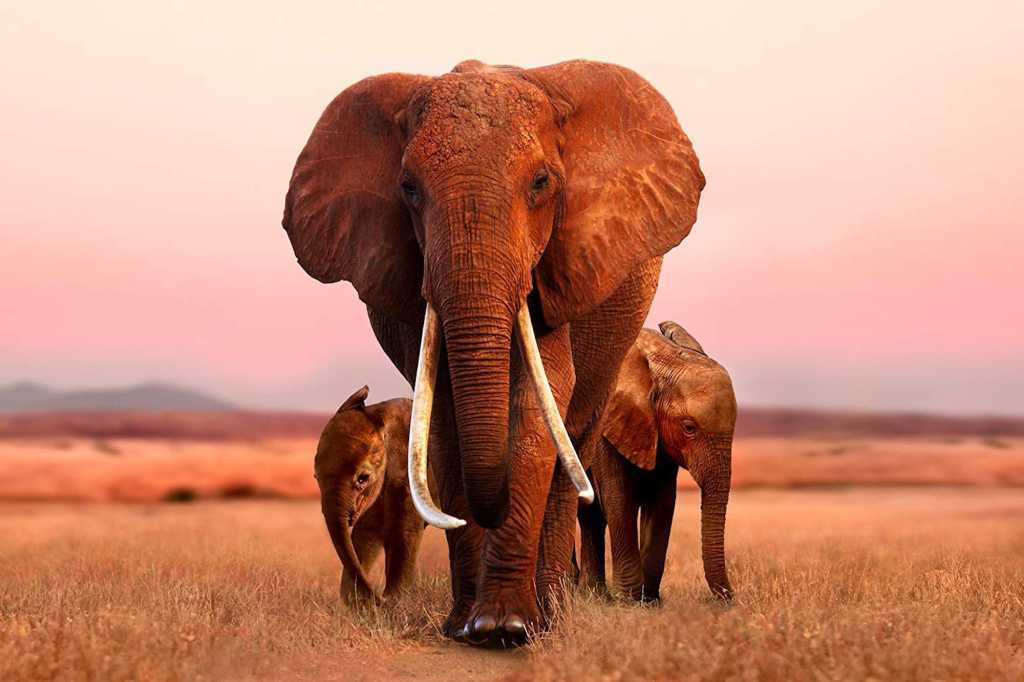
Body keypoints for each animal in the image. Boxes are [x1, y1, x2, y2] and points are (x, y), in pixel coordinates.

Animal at [314, 386, 424, 604]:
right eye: (316, 477)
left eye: (363, 478)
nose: (379, 596)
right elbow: (365, 534)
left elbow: (405, 534)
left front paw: (396, 600)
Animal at [577, 321, 735, 603]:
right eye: (689, 428)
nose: (731, 598)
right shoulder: (606, 425)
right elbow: (619, 498)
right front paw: (628, 601)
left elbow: (662, 502)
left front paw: (649, 601)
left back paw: (595, 596)